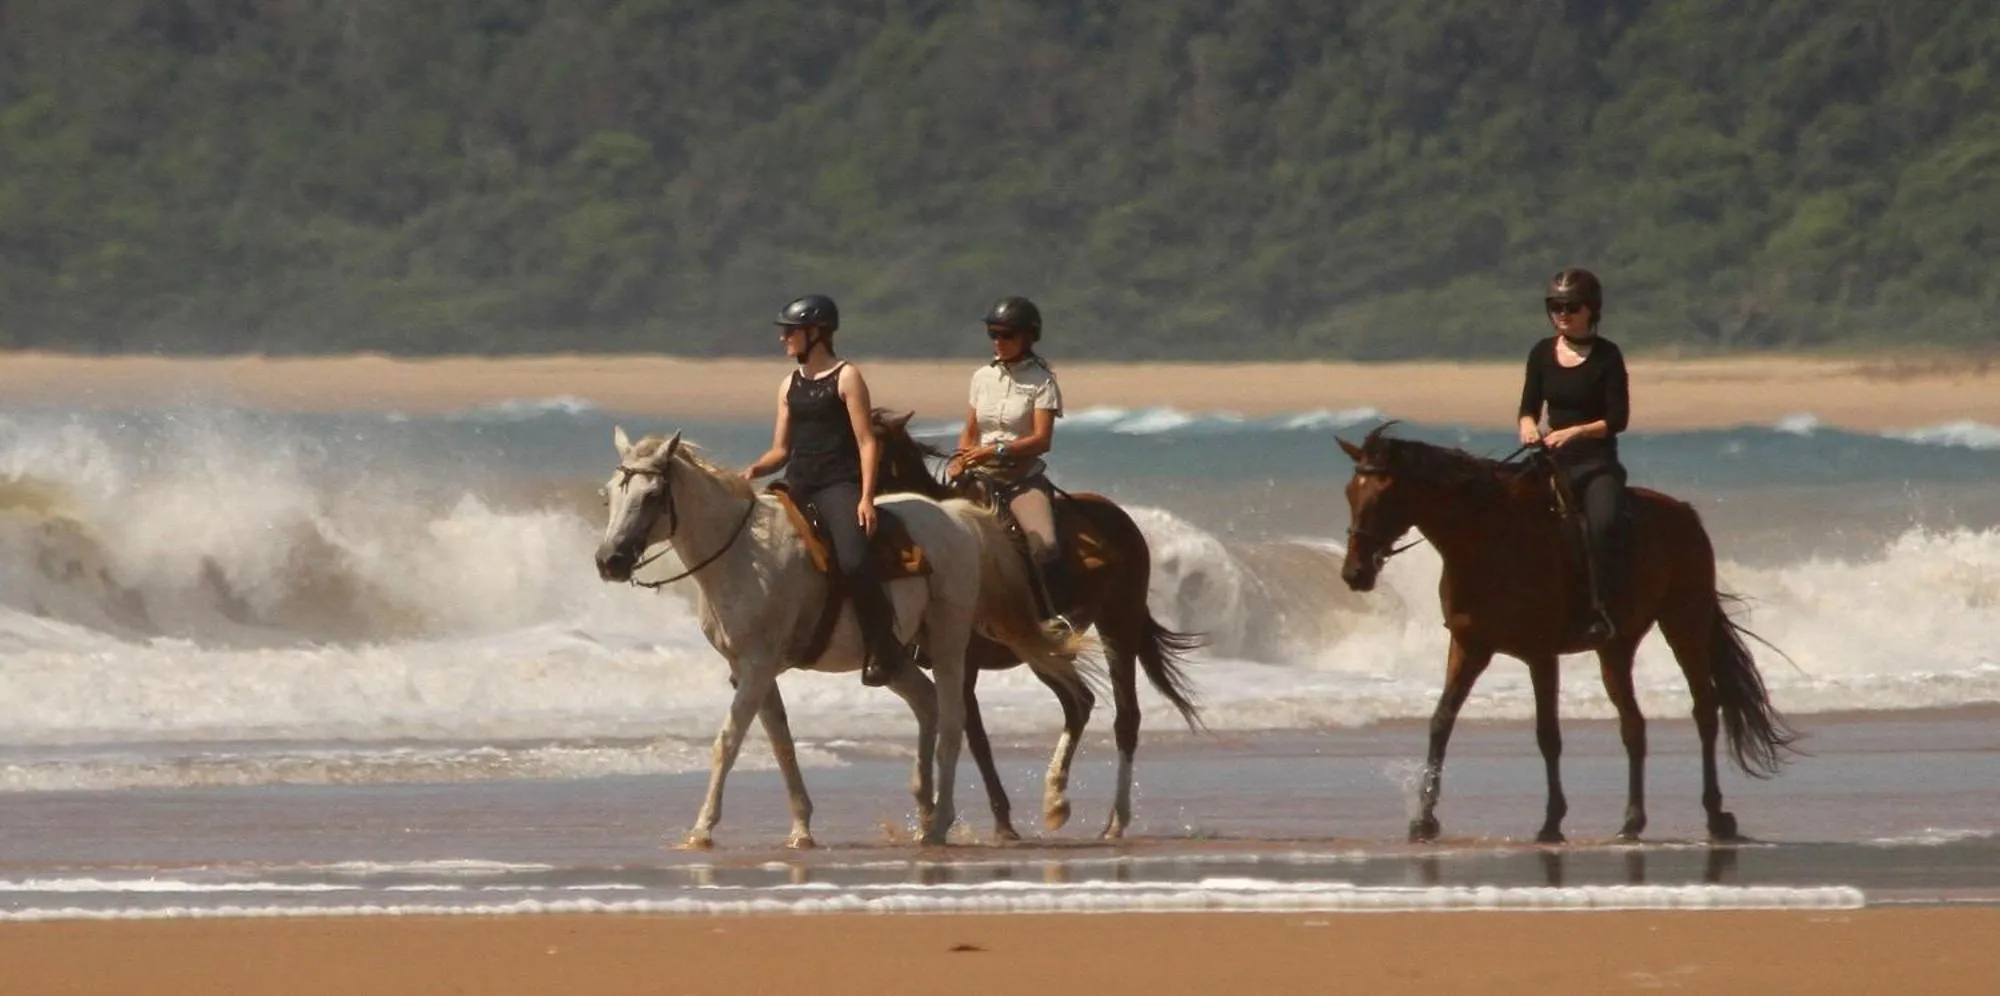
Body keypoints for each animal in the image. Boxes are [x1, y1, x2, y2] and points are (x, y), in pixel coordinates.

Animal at [593, 427, 1096, 848]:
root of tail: (955, 517)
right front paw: (801, 828)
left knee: (953, 719)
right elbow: (782, 745)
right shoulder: (750, 670)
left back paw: (938, 824)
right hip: (896, 655)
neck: (742, 553)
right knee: (927, 704)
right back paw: (924, 810)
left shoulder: (756, 666)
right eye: (609, 496)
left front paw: (701, 830)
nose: (609, 560)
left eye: (652, 495)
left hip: (949, 640)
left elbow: (728, 741)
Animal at [870, 410, 1203, 840]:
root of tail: (1119, 517)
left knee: (1124, 717)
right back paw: (1057, 801)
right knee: (1079, 704)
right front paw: (998, 821)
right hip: (1040, 650)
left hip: (1118, 624)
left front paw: (1000, 823)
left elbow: (972, 734)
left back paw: (1112, 821)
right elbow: (974, 734)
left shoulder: (963, 661)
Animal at [1335, 424, 1797, 844]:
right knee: (1634, 725)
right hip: (1616, 648)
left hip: (1685, 621)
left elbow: (1548, 735)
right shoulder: (1469, 647)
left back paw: (1716, 816)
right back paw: (1632, 821)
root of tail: (1685, 513)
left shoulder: (1540, 655)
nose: (1354, 574)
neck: (1487, 540)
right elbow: (1440, 722)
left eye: (1384, 494)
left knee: (1704, 710)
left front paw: (1551, 823)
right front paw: (1424, 820)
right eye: (1350, 493)